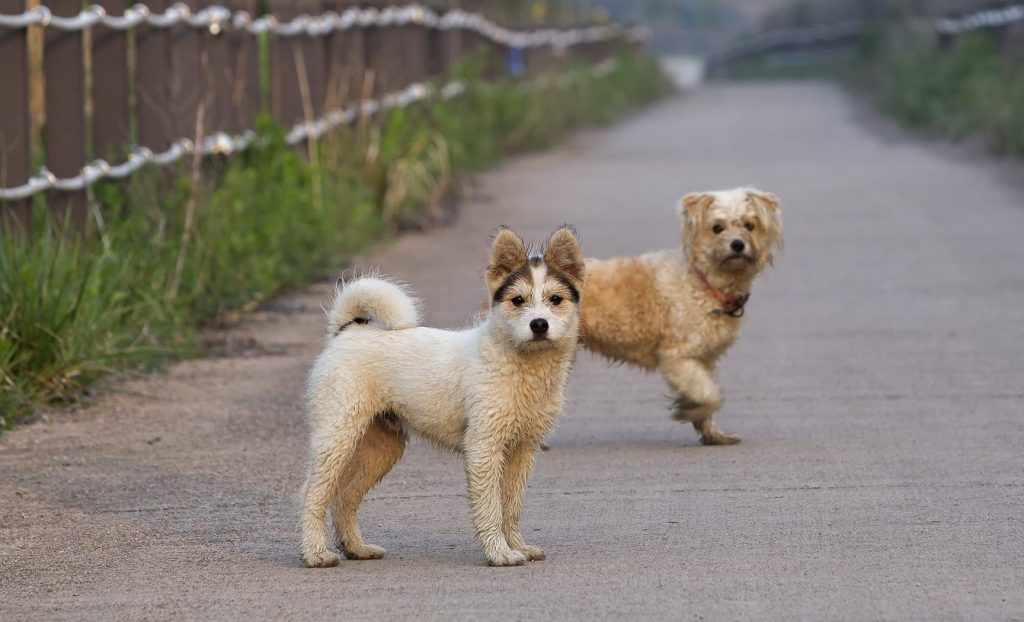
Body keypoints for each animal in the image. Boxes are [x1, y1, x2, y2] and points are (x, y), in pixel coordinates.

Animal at [577, 187, 782, 444]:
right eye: (717, 228)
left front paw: (713, 434)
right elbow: (712, 394)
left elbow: (706, 395)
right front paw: (688, 410)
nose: (737, 244)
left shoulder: (703, 359)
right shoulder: (677, 358)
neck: (702, 284)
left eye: (749, 225)